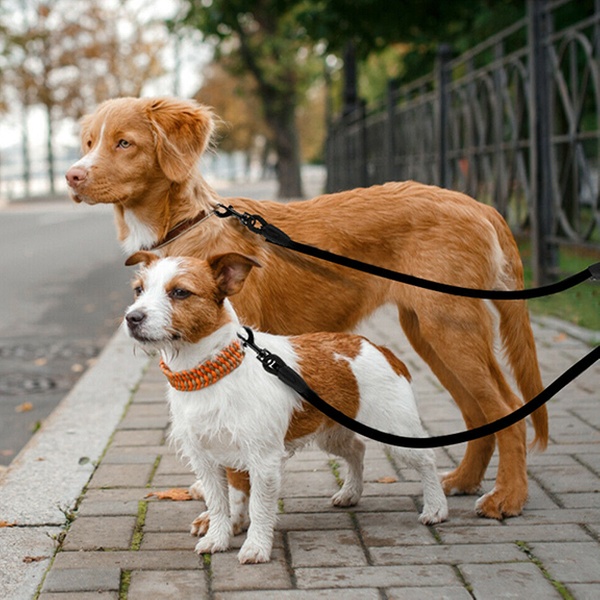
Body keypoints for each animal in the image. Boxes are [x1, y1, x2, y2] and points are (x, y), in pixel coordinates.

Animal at [67, 96, 548, 516]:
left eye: (124, 143)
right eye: (88, 142)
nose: (72, 176)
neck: (187, 225)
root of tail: (478, 204)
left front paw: (233, 515)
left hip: (451, 327)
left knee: (507, 408)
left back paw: (508, 497)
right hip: (429, 333)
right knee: (479, 412)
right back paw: (465, 480)